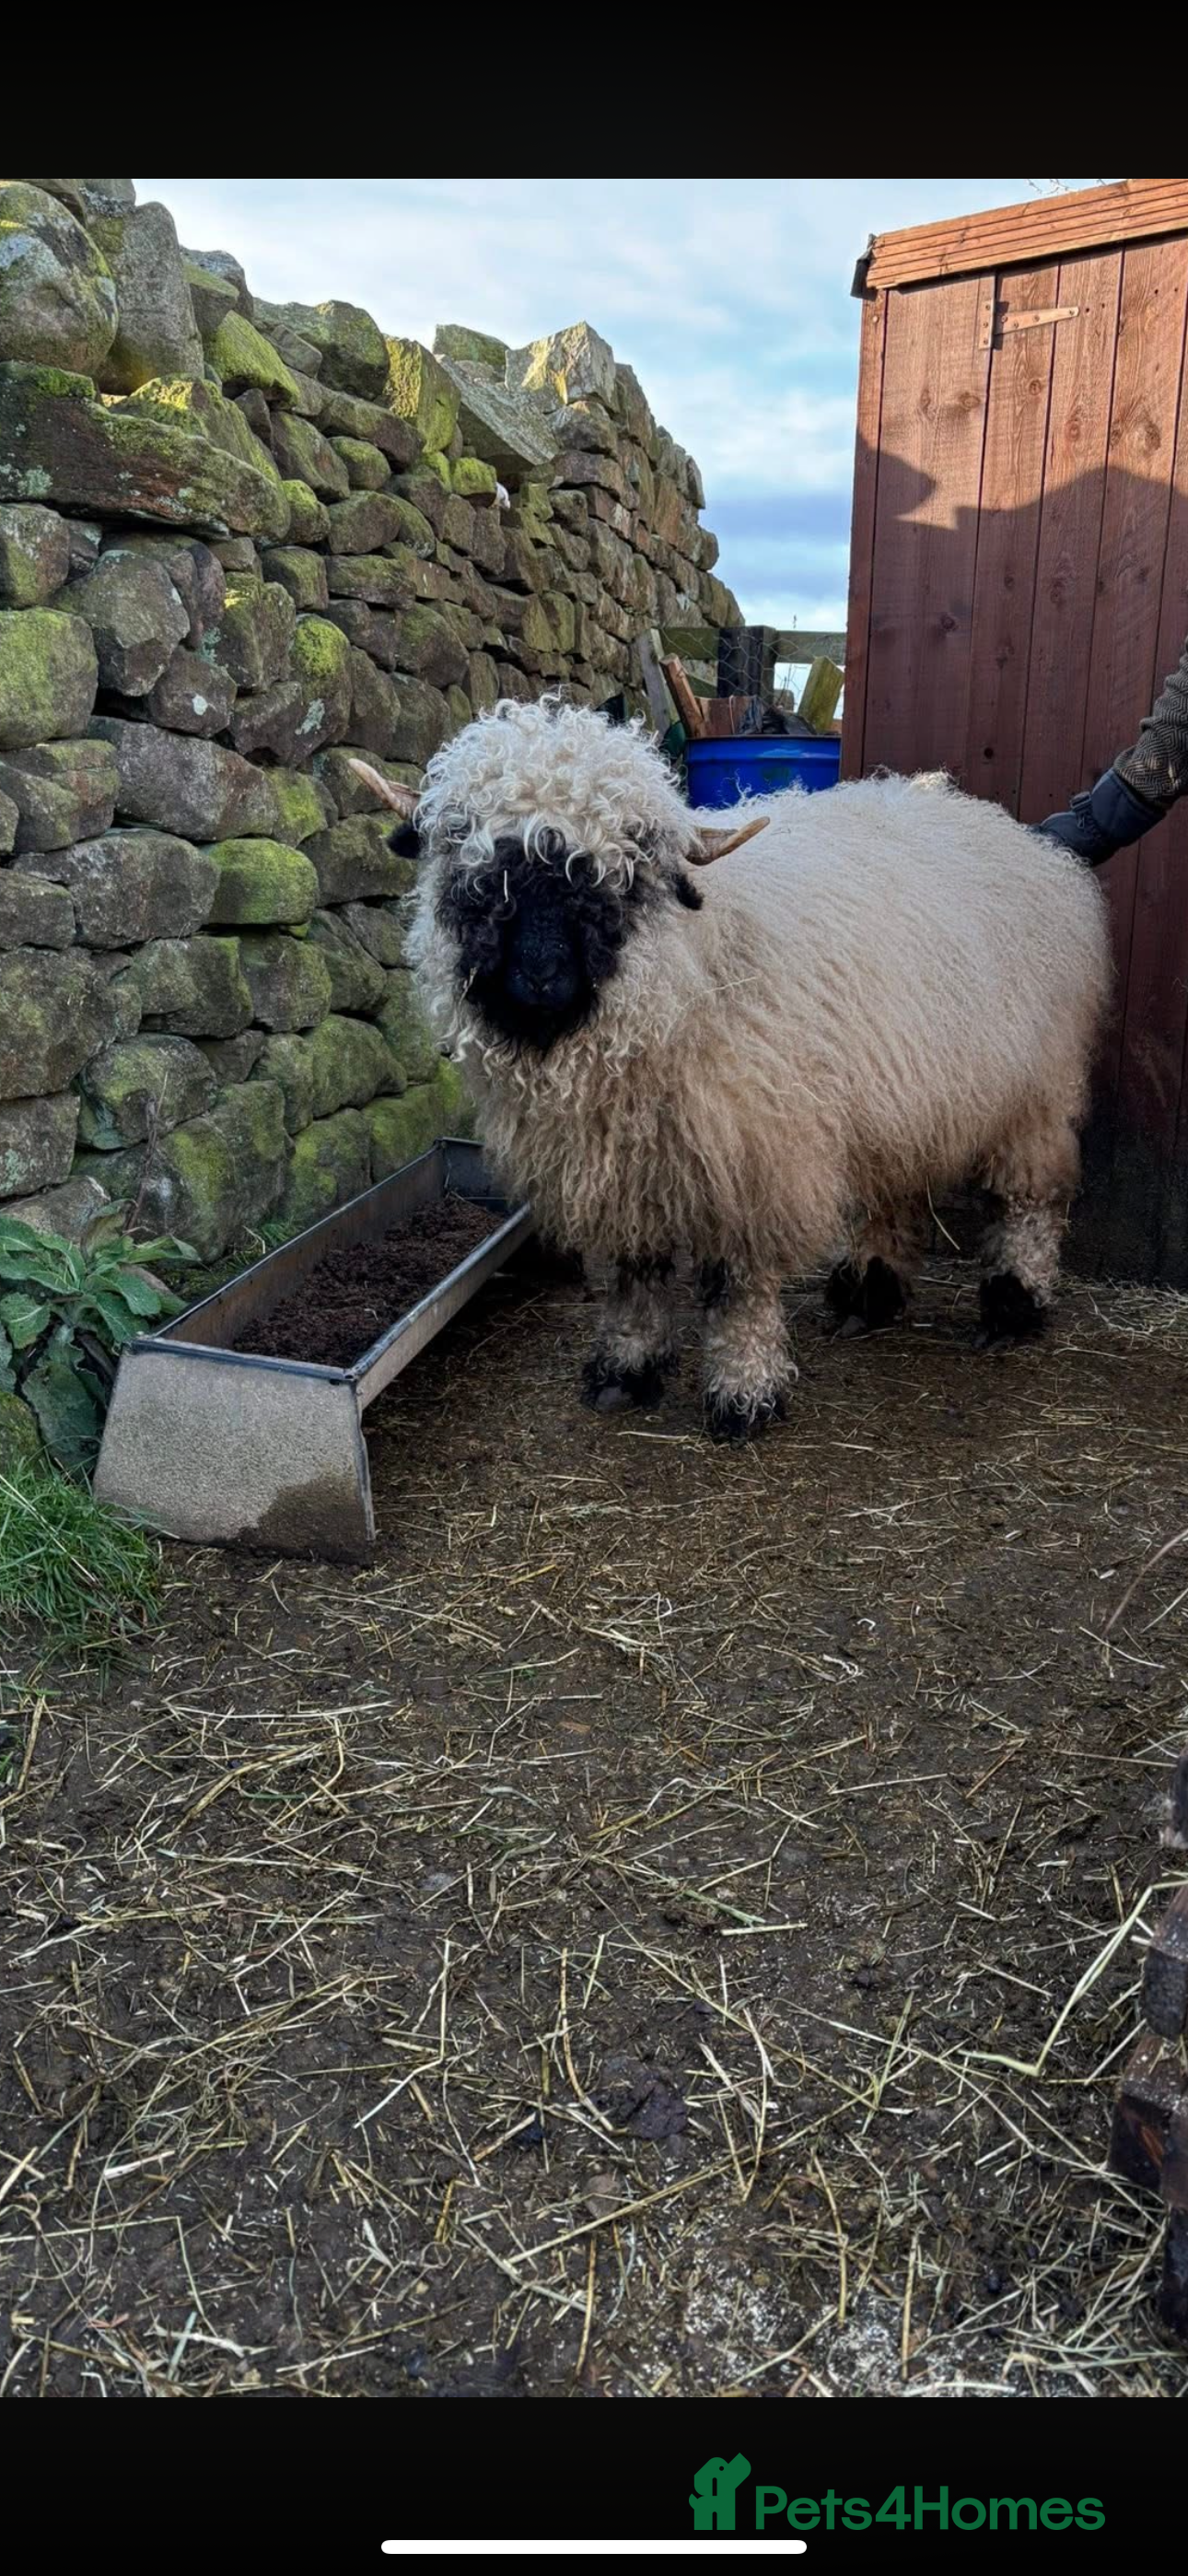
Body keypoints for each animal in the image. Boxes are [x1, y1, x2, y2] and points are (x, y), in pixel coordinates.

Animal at [352, 700, 1111, 1441]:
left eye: (623, 875)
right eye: (474, 866)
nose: (541, 977)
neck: (686, 975)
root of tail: (1023, 836)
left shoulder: (752, 1159)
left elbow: (736, 1287)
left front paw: (745, 1394)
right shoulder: (627, 1170)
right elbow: (634, 1272)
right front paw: (625, 1369)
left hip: (1035, 1091)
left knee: (1029, 1198)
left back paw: (1011, 1306)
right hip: (902, 1092)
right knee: (892, 1190)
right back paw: (868, 1292)